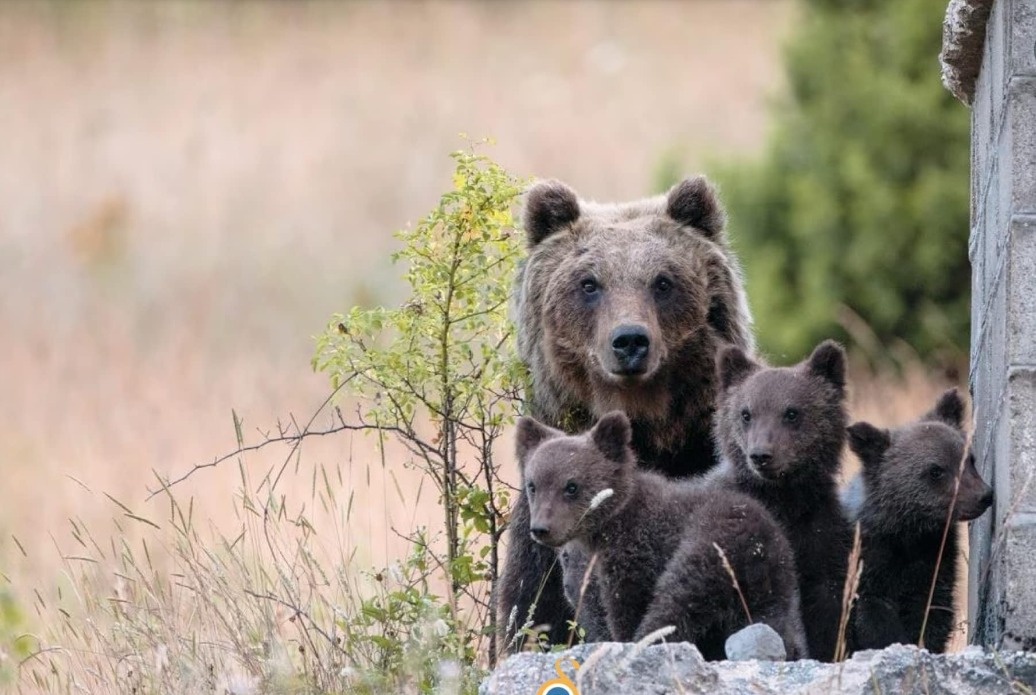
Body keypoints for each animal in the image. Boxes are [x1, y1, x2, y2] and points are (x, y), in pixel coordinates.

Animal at [500, 175, 756, 650]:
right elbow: (531, 609)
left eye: (663, 281)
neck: (644, 422)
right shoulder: (541, 514)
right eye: (588, 283)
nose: (630, 340)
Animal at [516, 411, 808, 660]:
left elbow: (627, 607)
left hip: (709, 547)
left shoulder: (634, 553)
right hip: (774, 583)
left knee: (675, 602)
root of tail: (757, 545)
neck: (607, 528)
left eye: (571, 486)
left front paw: (624, 639)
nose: (541, 528)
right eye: (533, 485)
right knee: (776, 624)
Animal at [708, 340, 854, 662]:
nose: (761, 455)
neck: (784, 498)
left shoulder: (821, 531)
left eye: (792, 412)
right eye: (746, 413)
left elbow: (826, 605)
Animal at [844, 388, 994, 653]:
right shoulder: (867, 564)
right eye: (935, 470)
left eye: (969, 460)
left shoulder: (935, 560)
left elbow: (932, 612)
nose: (983, 496)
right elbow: (873, 617)